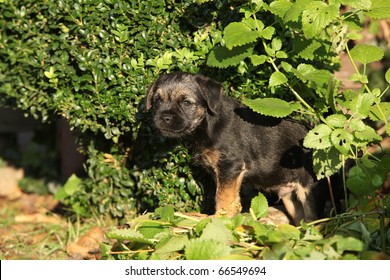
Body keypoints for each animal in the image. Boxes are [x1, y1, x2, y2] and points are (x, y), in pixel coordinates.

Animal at [145, 72, 318, 225]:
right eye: (157, 101)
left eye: (186, 102)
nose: (164, 117)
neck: (208, 123)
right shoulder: (220, 172)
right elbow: (223, 194)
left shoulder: (230, 166)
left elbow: (224, 197)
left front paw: (220, 218)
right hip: (291, 198)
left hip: (310, 192)